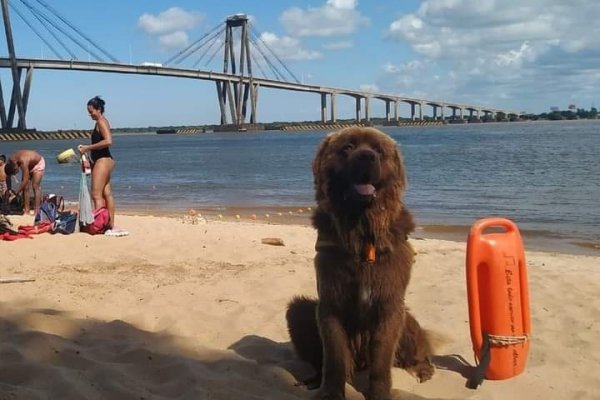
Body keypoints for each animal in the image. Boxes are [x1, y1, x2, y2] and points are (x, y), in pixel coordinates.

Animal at [288, 126, 434, 398]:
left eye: (379, 150)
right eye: (348, 147)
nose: (367, 156)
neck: (361, 230)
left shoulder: (389, 304)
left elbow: (382, 362)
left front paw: (379, 393)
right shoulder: (330, 303)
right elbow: (334, 358)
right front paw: (330, 393)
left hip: (407, 318)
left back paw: (422, 369)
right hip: (298, 310)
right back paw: (312, 381)